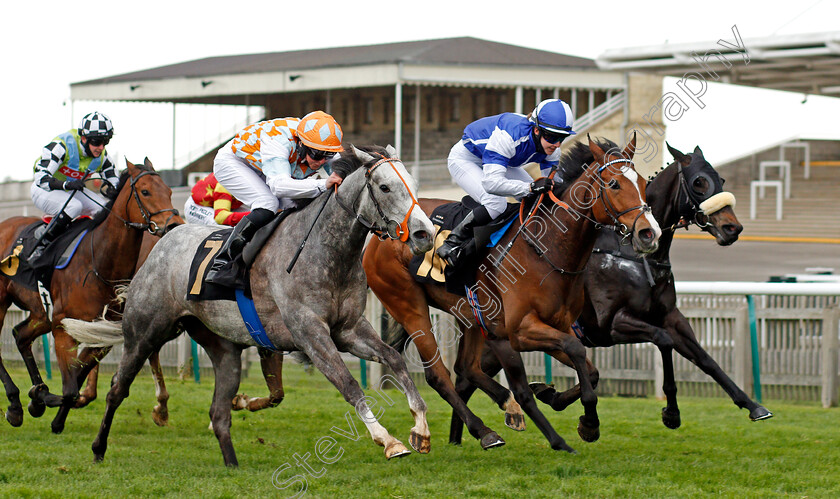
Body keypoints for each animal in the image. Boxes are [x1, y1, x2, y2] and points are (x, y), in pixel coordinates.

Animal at [0, 158, 182, 432]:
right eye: (145, 191)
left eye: (170, 191)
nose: (174, 225)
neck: (99, 263)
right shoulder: (63, 329)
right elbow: (70, 388)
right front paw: (43, 398)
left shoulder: (102, 333)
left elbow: (77, 378)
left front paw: (46, 406)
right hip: (4, 302)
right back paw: (15, 403)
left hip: (41, 315)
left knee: (20, 336)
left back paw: (24, 402)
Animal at [64, 146, 440, 468]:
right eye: (385, 187)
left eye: (413, 185)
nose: (424, 234)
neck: (325, 250)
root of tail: (162, 243)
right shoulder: (310, 334)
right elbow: (349, 385)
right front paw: (388, 440)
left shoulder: (347, 329)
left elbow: (394, 359)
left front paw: (420, 427)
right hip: (145, 333)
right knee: (117, 388)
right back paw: (97, 446)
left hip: (222, 349)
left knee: (218, 412)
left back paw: (231, 462)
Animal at [362, 134, 664, 454]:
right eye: (614, 184)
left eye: (642, 182)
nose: (649, 233)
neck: (547, 248)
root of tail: (381, 235)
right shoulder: (519, 331)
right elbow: (563, 359)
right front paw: (570, 432)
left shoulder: (553, 325)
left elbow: (588, 370)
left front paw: (568, 409)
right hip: (409, 306)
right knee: (439, 375)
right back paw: (482, 430)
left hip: (470, 316)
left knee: (466, 367)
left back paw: (499, 414)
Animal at [450, 143, 772, 448]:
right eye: (699, 182)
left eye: (721, 179)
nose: (732, 228)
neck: (634, 256)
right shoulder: (613, 325)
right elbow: (663, 341)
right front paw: (670, 413)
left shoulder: (669, 316)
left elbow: (705, 359)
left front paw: (752, 405)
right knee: (465, 380)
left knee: (466, 379)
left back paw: (465, 436)